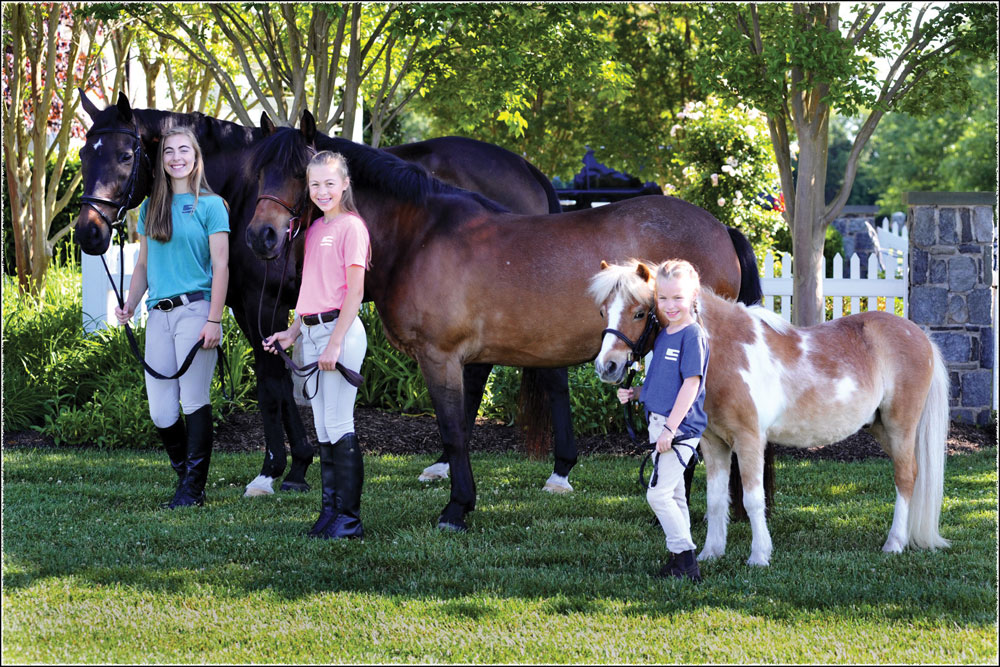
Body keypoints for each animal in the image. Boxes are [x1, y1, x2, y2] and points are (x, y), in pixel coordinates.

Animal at [246, 115, 760, 532]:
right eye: (258, 171)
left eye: (302, 172)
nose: (260, 236)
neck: (420, 236)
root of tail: (722, 229)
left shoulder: (440, 357)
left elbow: (454, 431)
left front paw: (456, 509)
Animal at [588, 260, 948, 564]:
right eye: (603, 311)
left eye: (639, 313)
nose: (607, 367)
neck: (723, 353)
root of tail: (921, 336)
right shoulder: (714, 444)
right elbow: (716, 500)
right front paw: (710, 553)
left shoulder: (749, 440)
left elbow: (752, 499)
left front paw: (759, 556)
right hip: (880, 428)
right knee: (913, 474)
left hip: (901, 426)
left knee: (905, 476)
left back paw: (894, 543)